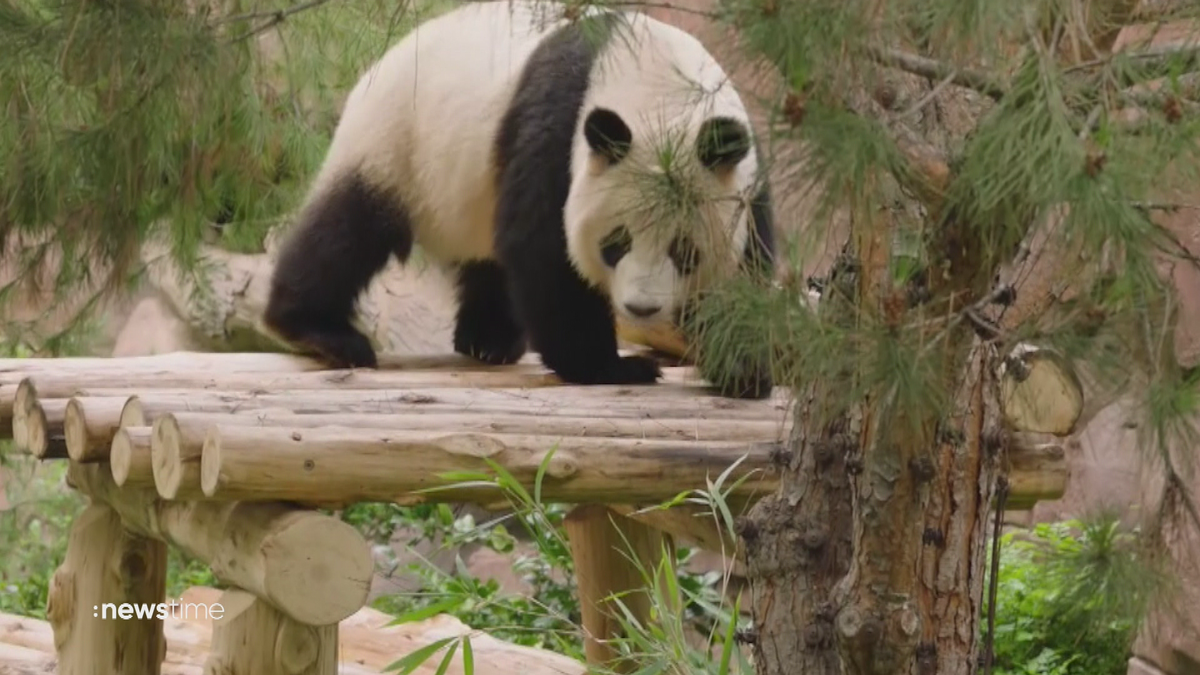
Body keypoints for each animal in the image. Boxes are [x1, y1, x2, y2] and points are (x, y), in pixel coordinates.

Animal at [265, 0, 777, 396]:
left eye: (684, 250)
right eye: (616, 243)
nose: (642, 309)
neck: (661, 95)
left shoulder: (745, 176)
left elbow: (748, 271)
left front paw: (744, 368)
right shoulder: (561, 132)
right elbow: (546, 252)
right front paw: (610, 366)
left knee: (488, 258)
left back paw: (488, 340)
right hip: (394, 140)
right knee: (348, 231)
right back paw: (318, 331)